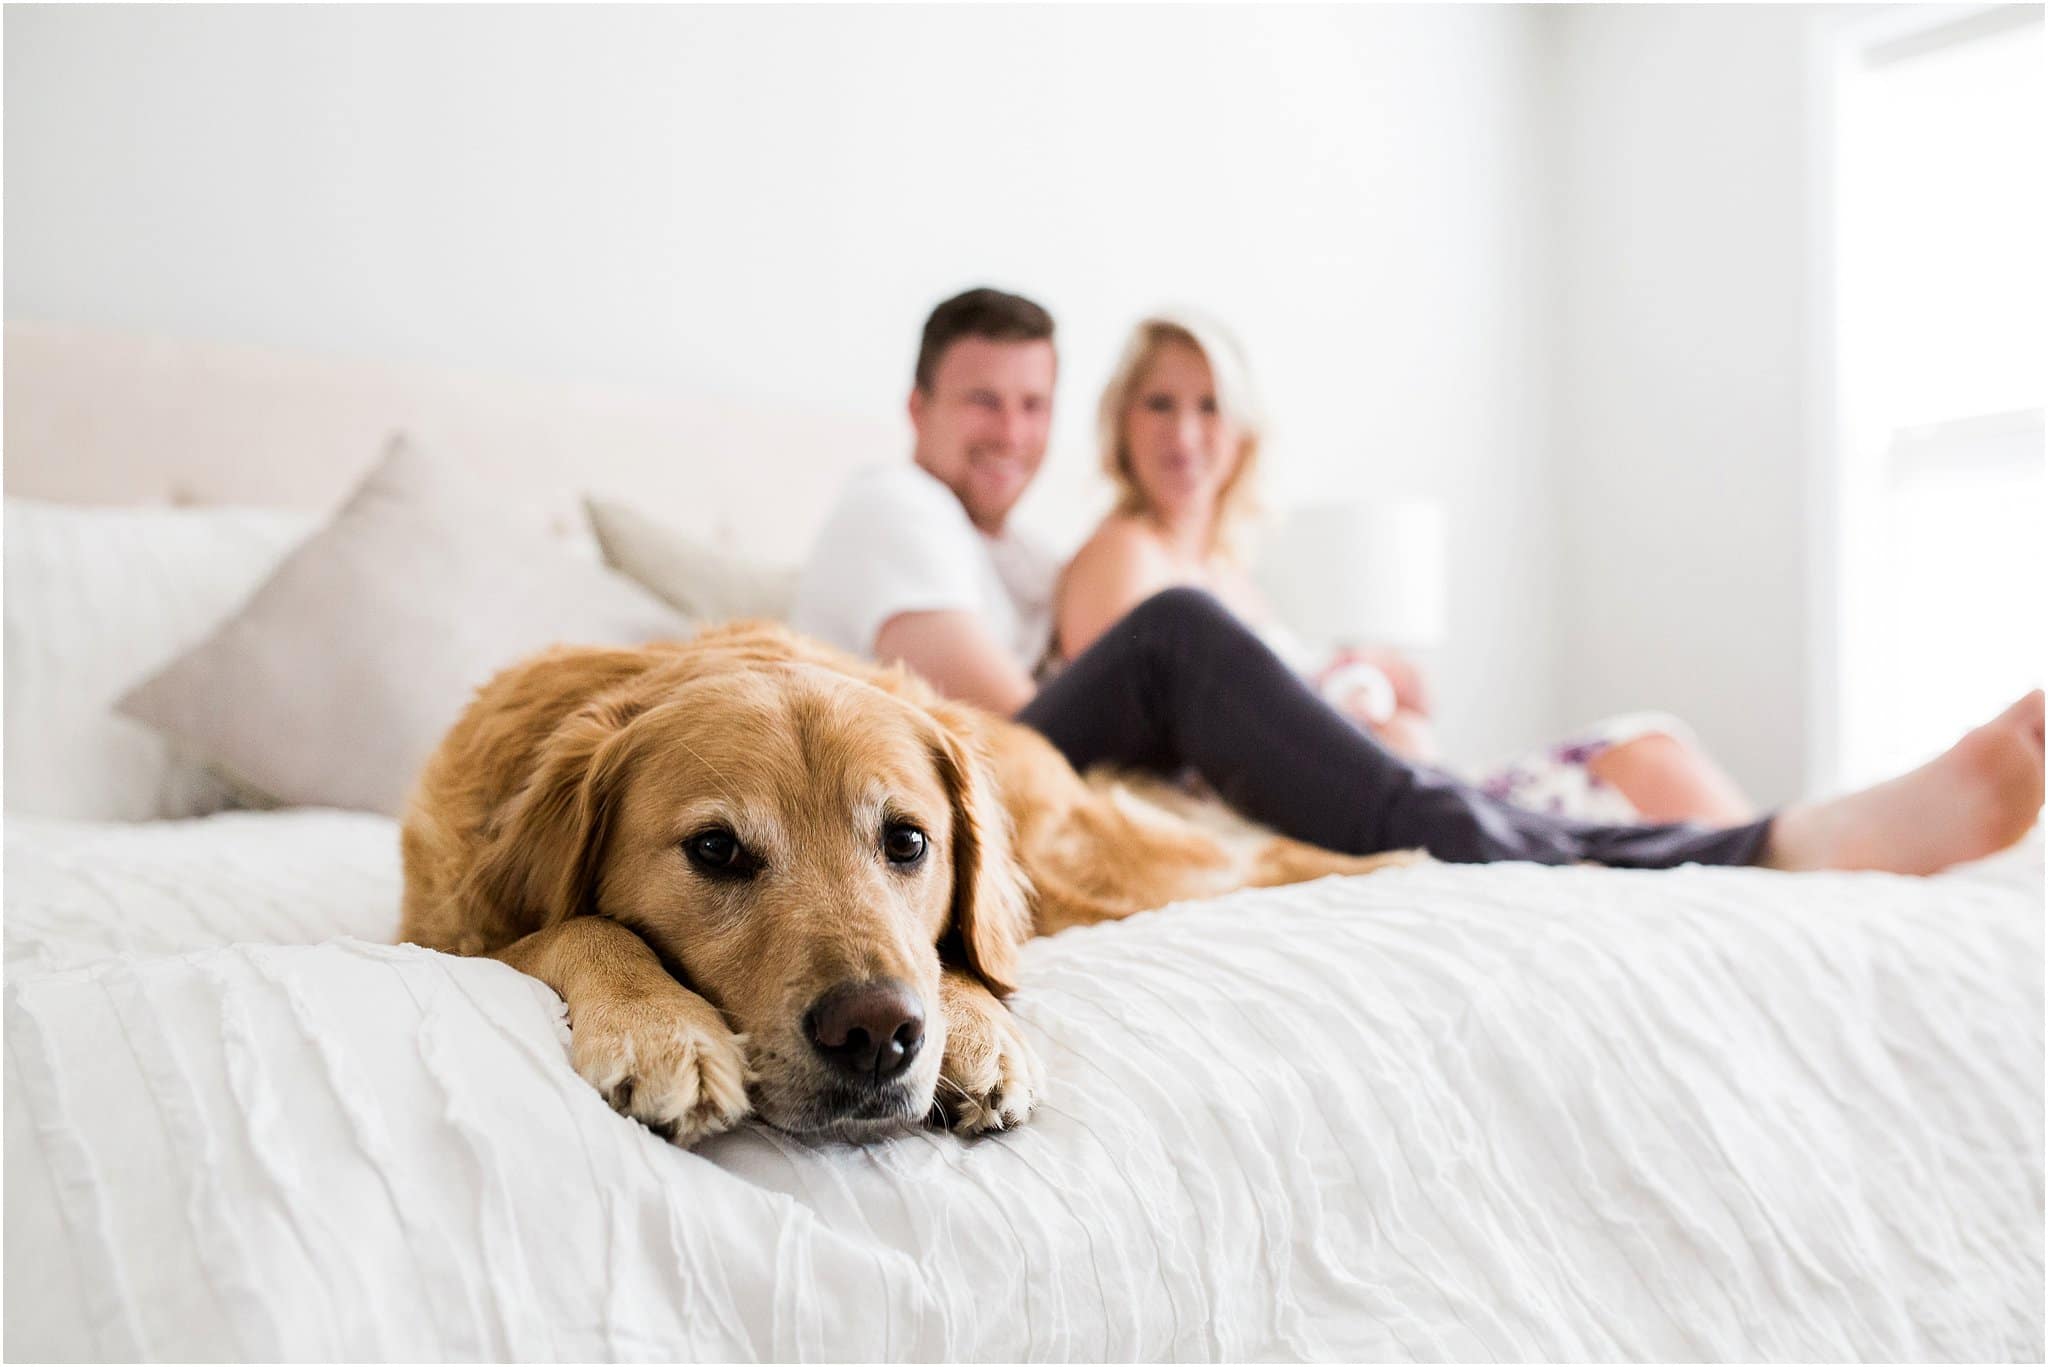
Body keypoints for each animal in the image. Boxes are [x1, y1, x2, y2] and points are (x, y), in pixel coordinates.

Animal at [395, 627, 1409, 1147]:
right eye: (716, 849)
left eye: (909, 840)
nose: (877, 1033)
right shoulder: (444, 929)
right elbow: (581, 928)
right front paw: (660, 1027)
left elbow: (957, 956)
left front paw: (977, 1030)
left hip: (1090, 865)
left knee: (1244, 855)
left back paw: (1402, 861)